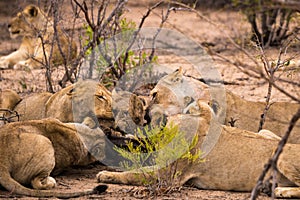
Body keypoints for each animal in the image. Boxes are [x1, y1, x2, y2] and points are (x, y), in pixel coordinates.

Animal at [98, 101, 300, 198]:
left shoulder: (169, 177)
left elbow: (134, 174)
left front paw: (105, 175)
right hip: (264, 131)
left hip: (281, 155)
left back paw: (281, 191)